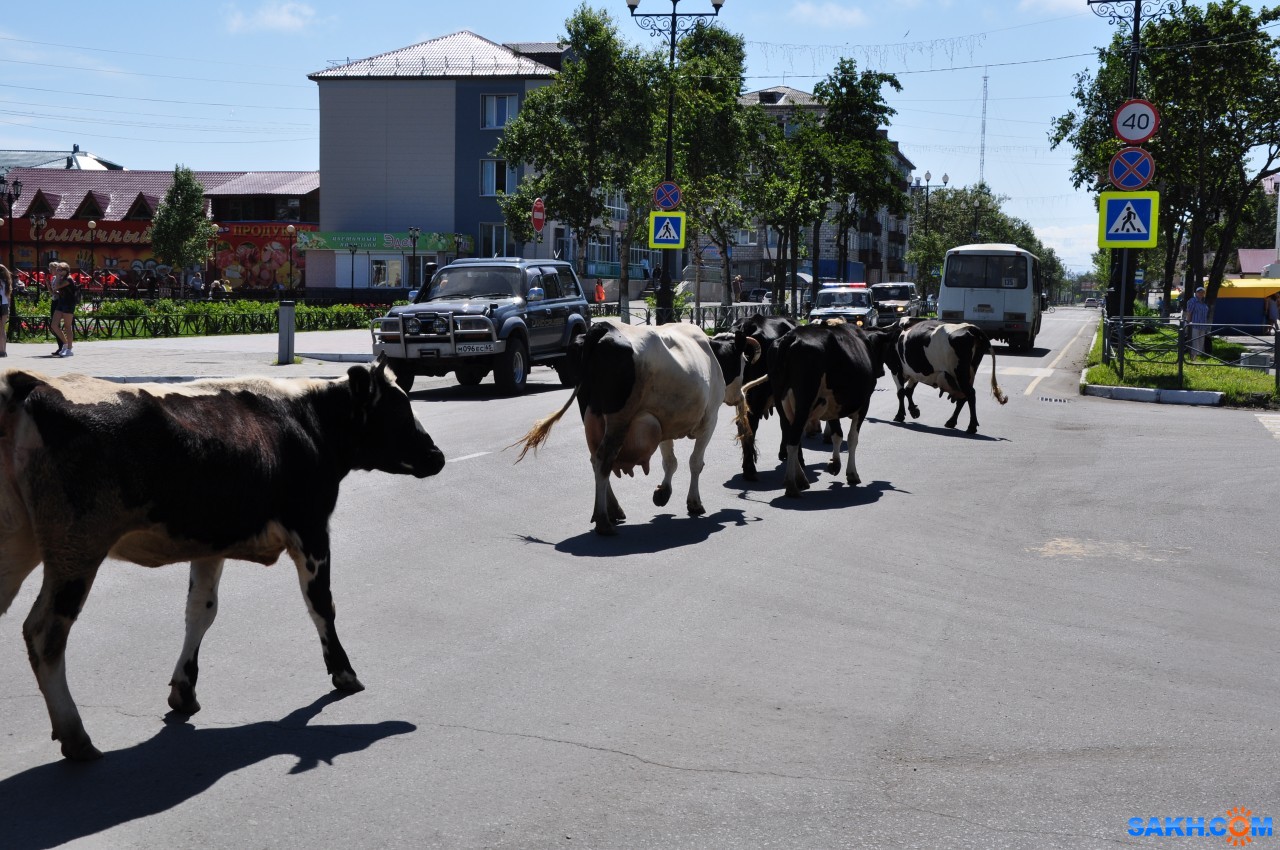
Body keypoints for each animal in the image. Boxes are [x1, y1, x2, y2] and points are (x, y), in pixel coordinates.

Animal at [0, 357, 445, 761]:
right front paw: (344, 673)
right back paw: (76, 738)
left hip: (23, 544)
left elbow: (201, 610)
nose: (437, 455)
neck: (306, 421)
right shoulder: (311, 528)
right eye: (399, 409)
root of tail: (31, 383)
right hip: (76, 548)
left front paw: (184, 690)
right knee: (45, 633)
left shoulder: (210, 543)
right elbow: (322, 605)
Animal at [515, 320, 749, 536]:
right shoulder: (710, 419)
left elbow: (670, 462)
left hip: (592, 415)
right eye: (744, 362)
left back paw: (612, 510)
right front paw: (694, 503)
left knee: (595, 459)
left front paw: (663, 493)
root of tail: (604, 327)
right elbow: (695, 463)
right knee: (603, 459)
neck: (712, 355)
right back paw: (603, 521)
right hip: (619, 418)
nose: (741, 396)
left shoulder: (664, 421)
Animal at [743, 320, 891, 498]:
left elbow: (837, 434)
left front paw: (835, 464)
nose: (882, 372)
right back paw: (792, 485)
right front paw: (852, 474)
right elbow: (852, 438)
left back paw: (798, 479)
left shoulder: (832, 405)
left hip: (781, 401)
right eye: (883, 348)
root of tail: (791, 337)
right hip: (804, 401)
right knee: (793, 439)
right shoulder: (864, 404)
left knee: (788, 433)